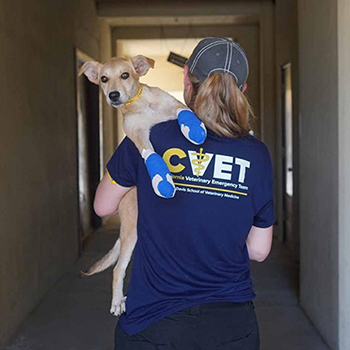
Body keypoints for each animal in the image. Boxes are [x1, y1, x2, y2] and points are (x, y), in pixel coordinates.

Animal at [78, 56, 205, 316]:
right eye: (104, 79)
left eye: (125, 75)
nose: (113, 95)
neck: (141, 104)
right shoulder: (137, 133)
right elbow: (150, 154)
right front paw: (161, 179)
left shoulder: (174, 105)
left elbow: (183, 111)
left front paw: (194, 128)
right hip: (131, 230)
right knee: (118, 269)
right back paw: (117, 302)